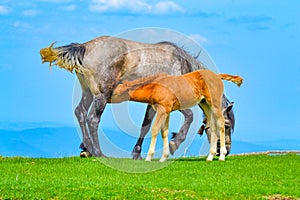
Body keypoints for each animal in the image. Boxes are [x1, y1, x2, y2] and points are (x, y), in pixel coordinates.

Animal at [39, 35, 236, 158]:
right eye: (226, 125)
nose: (225, 150)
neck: (182, 66)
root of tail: (85, 47)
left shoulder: (154, 104)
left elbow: (145, 126)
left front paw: (137, 153)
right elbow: (189, 117)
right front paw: (174, 144)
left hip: (87, 93)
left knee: (80, 112)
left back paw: (86, 148)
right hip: (101, 96)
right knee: (92, 119)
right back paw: (98, 152)